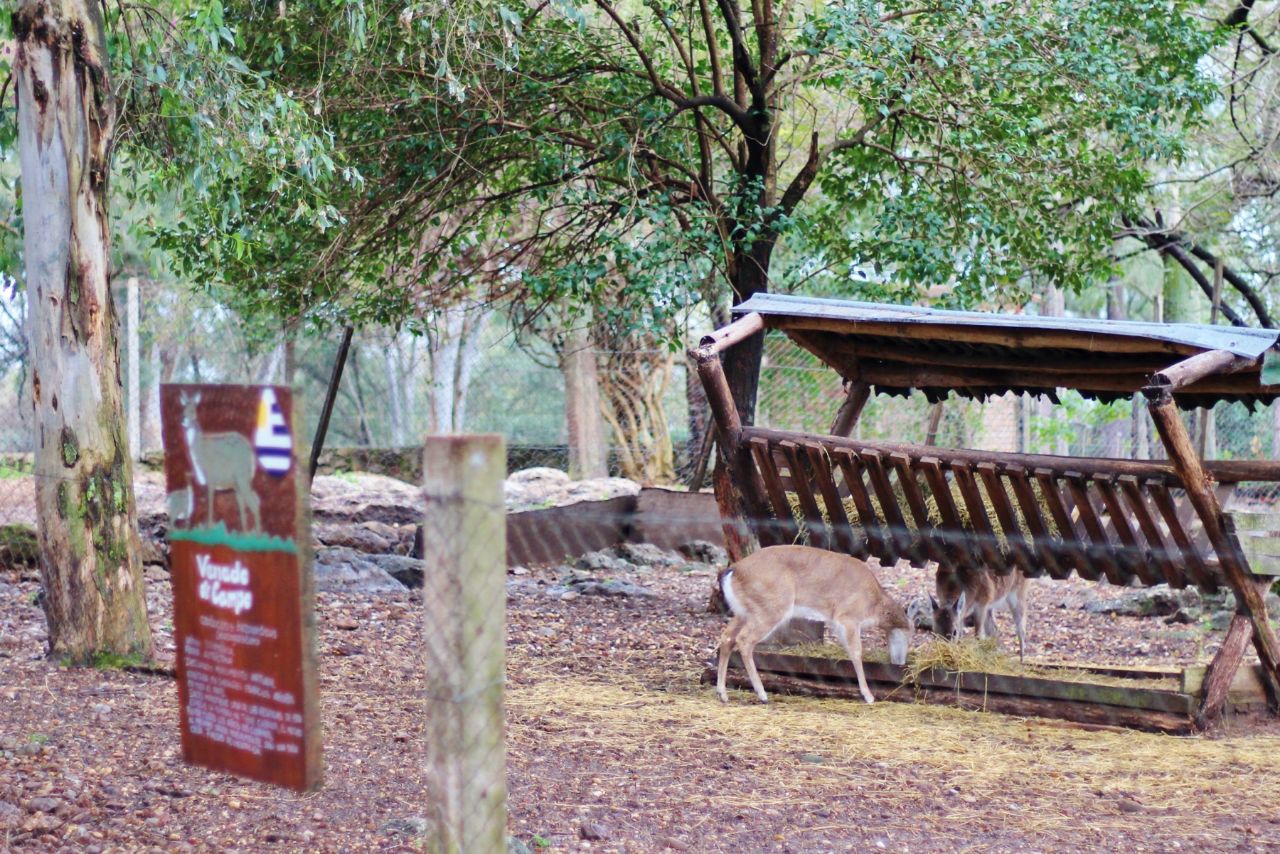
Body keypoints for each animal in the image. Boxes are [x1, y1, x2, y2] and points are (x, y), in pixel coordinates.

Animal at [716, 547, 916, 706]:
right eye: (910, 635)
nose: (900, 662)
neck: (873, 605)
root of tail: (733, 570)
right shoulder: (848, 616)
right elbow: (857, 652)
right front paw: (868, 696)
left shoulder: (837, 622)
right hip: (770, 608)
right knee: (744, 640)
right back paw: (762, 694)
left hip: (744, 611)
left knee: (727, 637)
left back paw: (723, 694)